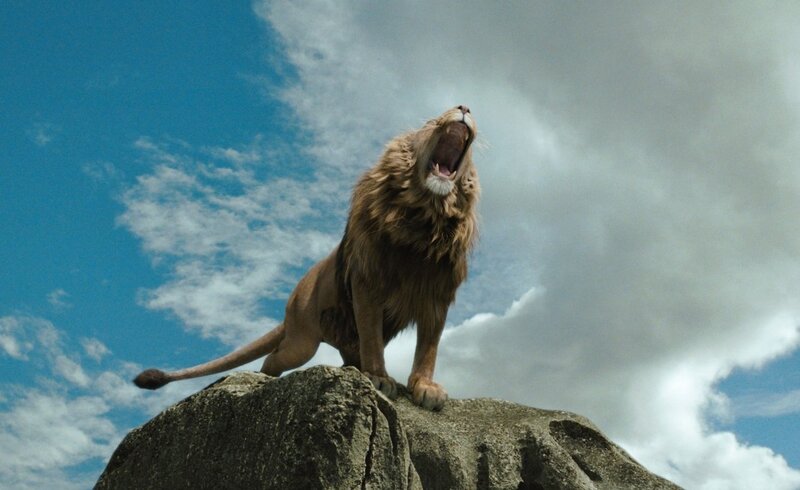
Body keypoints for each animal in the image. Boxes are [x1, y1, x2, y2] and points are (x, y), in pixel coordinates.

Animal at [134, 105, 479, 411]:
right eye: (430, 122)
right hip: (302, 341)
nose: (464, 107)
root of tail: (292, 302)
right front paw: (379, 378)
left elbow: (428, 348)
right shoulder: (367, 283)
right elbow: (372, 338)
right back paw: (263, 380)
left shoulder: (437, 295)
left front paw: (425, 386)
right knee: (274, 358)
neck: (422, 220)